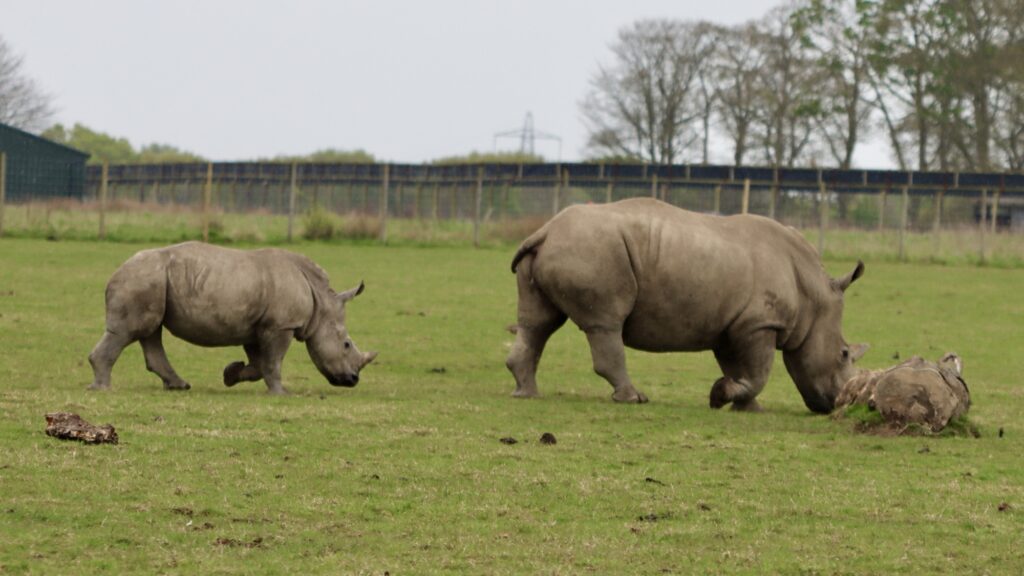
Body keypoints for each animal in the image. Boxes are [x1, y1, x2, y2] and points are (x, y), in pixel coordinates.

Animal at [89, 241, 376, 394]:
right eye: (346, 344)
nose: (353, 380)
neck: (321, 301)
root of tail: (116, 271)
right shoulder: (280, 325)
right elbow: (273, 361)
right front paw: (281, 393)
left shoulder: (258, 326)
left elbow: (260, 363)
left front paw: (230, 374)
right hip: (142, 279)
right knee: (132, 330)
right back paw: (103, 389)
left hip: (151, 281)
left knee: (150, 332)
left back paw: (179, 386)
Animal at [506, 198, 867, 413]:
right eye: (843, 354)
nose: (836, 404)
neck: (813, 297)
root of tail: (545, 231)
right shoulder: (760, 323)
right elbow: (759, 372)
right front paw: (721, 396)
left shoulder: (732, 326)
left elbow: (739, 368)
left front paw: (745, 406)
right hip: (591, 251)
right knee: (605, 324)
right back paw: (634, 399)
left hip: (563, 250)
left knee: (538, 323)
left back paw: (526, 394)